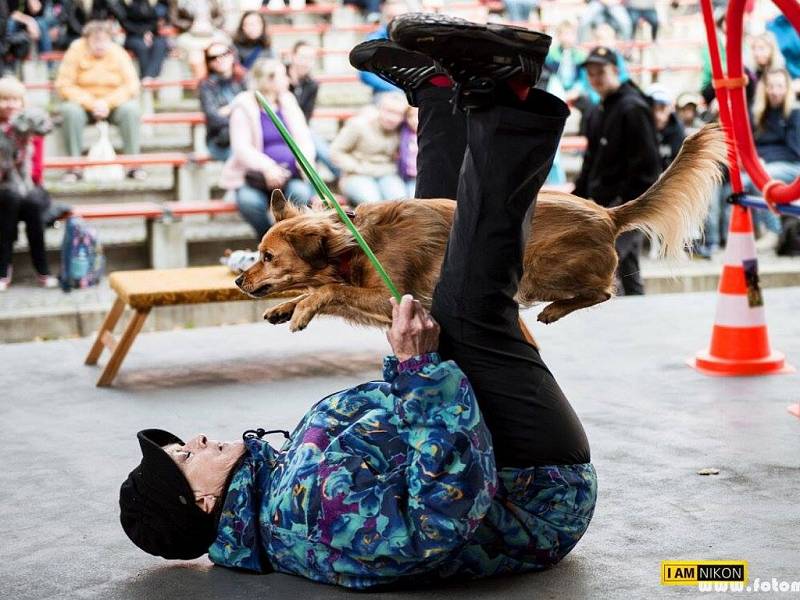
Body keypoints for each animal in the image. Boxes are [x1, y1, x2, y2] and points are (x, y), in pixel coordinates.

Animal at [234, 125, 728, 332]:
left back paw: (554, 310)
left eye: (268, 256)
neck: (355, 244)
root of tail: (608, 214)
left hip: (541, 269)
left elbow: (328, 290)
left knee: (604, 290)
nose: (238, 280)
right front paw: (287, 307)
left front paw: (301, 308)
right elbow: (322, 289)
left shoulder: (394, 297)